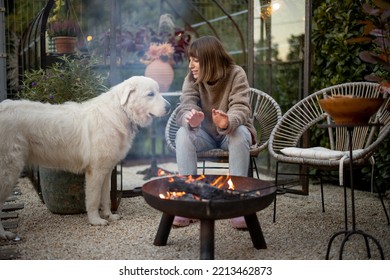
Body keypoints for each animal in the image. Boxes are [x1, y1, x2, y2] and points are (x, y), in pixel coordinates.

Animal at [0, 75, 171, 240]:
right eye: (150, 94)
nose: (169, 107)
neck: (121, 111)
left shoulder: (106, 171)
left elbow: (105, 197)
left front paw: (109, 216)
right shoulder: (95, 172)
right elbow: (94, 199)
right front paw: (96, 221)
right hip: (8, 173)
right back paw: (4, 234)